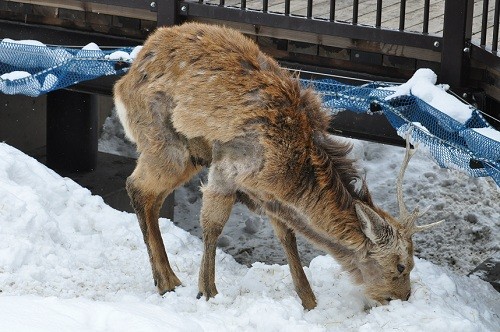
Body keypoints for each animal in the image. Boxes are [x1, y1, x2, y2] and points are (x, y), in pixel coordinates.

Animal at [113, 22, 442, 310]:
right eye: (402, 265)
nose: (403, 297)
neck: (287, 173)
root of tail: (123, 81)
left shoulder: (264, 193)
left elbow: (287, 235)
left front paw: (309, 302)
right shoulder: (228, 166)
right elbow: (212, 225)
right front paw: (207, 292)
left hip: (187, 153)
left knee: (150, 196)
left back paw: (166, 278)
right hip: (165, 142)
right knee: (137, 187)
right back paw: (168, 281)